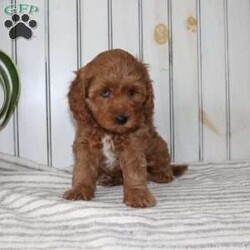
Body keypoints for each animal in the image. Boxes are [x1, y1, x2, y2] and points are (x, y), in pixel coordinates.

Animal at [63, 48, 187, 207]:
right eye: (105, 93)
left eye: (132, 93)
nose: (122, 119)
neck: (109, 132)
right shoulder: (86, 143)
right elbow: (83, 169)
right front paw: (79, 189)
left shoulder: (133, 144)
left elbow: (134, 170)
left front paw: (137, 194)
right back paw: (109, 179)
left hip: (158, 147)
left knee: (163, 164)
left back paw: (163, 174)